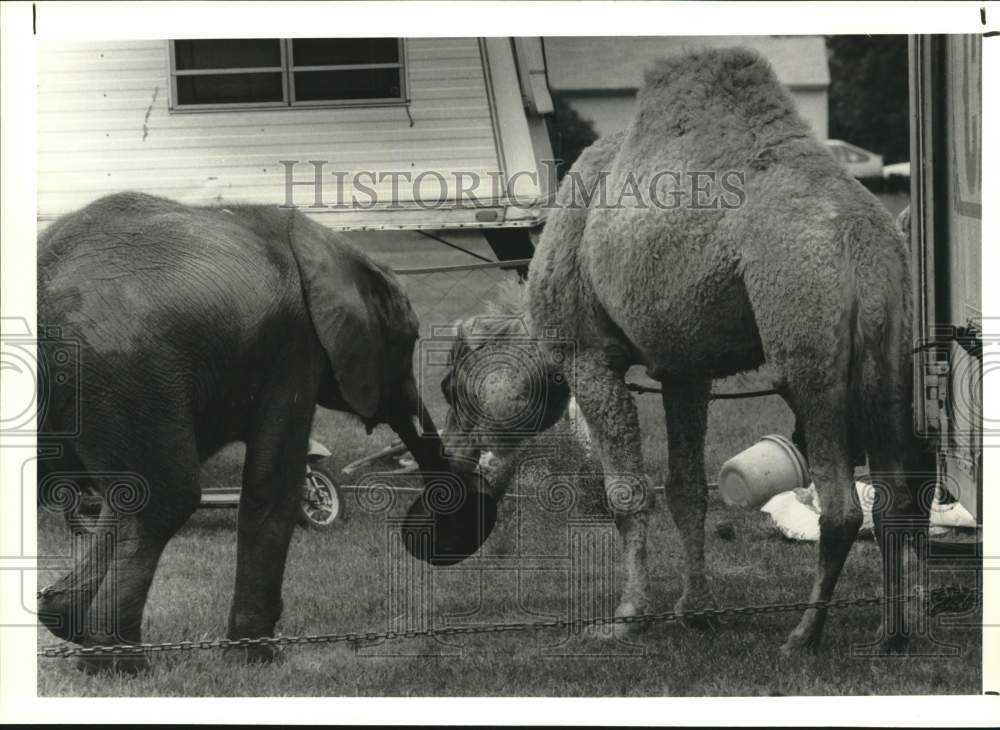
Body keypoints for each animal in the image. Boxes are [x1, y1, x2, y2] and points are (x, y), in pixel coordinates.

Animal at [36, 192, 493, 674]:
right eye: (409, 341)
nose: (442, 529)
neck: (333, 249)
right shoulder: (295, 344)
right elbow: (271, 484)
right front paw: (256, 655)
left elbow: (116, 500)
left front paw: (60, 616)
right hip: (122, 363)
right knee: (164, 501)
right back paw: (119, 665)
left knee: (137, 500)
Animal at [441, 48, 933, 653]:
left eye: (449, 387)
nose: (451, 453)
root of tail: (863, 240)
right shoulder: (684, 370)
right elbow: (686, 490)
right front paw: (696, 610)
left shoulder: (587, 355)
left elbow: (627, 493)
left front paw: (626, 617)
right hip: (892, 354)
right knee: (898, 497)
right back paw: (891, 632)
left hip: (807, 343)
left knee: (841, 506)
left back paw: (803, 634)